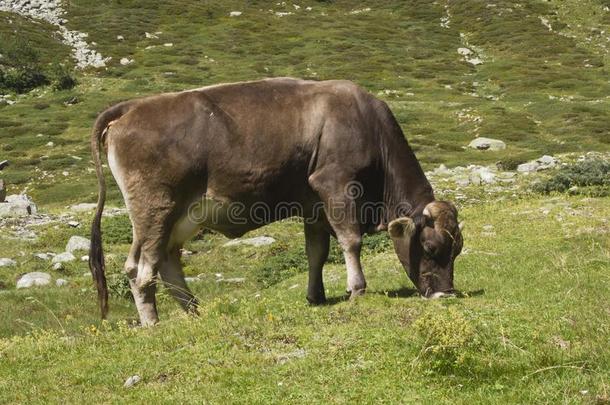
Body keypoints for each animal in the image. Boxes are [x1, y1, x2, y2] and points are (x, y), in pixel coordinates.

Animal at [89, 78, 460, 326]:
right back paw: (153, 323)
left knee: (165, 262)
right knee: (140, 270)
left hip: (181, 216)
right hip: (155, 209)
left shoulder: (313, 204)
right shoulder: (335, 183)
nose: (446, 294)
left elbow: (317, 252)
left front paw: (316, 296)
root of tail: (130, 107)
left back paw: (196, 312)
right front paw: (357, 290)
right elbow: (350, 240)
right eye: (430, 248)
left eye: (457, 250)